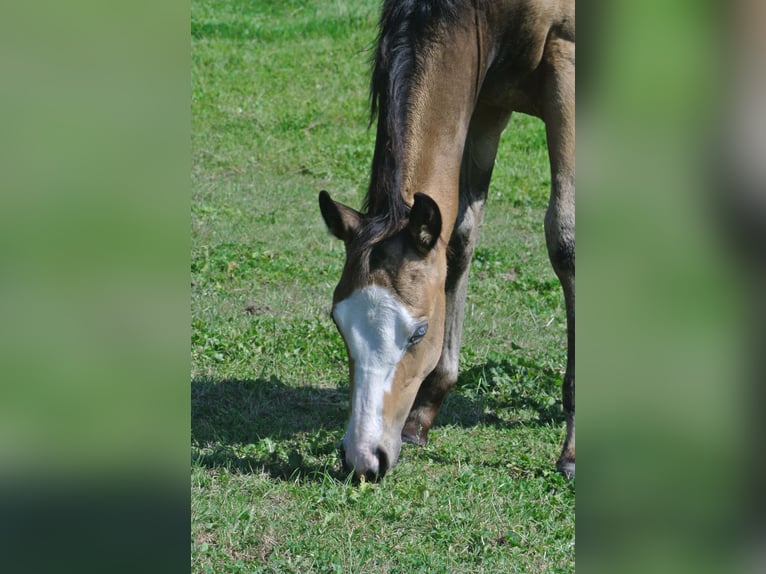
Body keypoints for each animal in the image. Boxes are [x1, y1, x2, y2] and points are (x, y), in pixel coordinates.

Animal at [318, 0, 576, 484]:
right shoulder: (484, 98)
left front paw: (570, 450)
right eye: (338, 323)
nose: (364, 459)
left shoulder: (566, 63)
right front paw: (425, 412)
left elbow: (565, 240)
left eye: (418, 332)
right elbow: (460, 238)